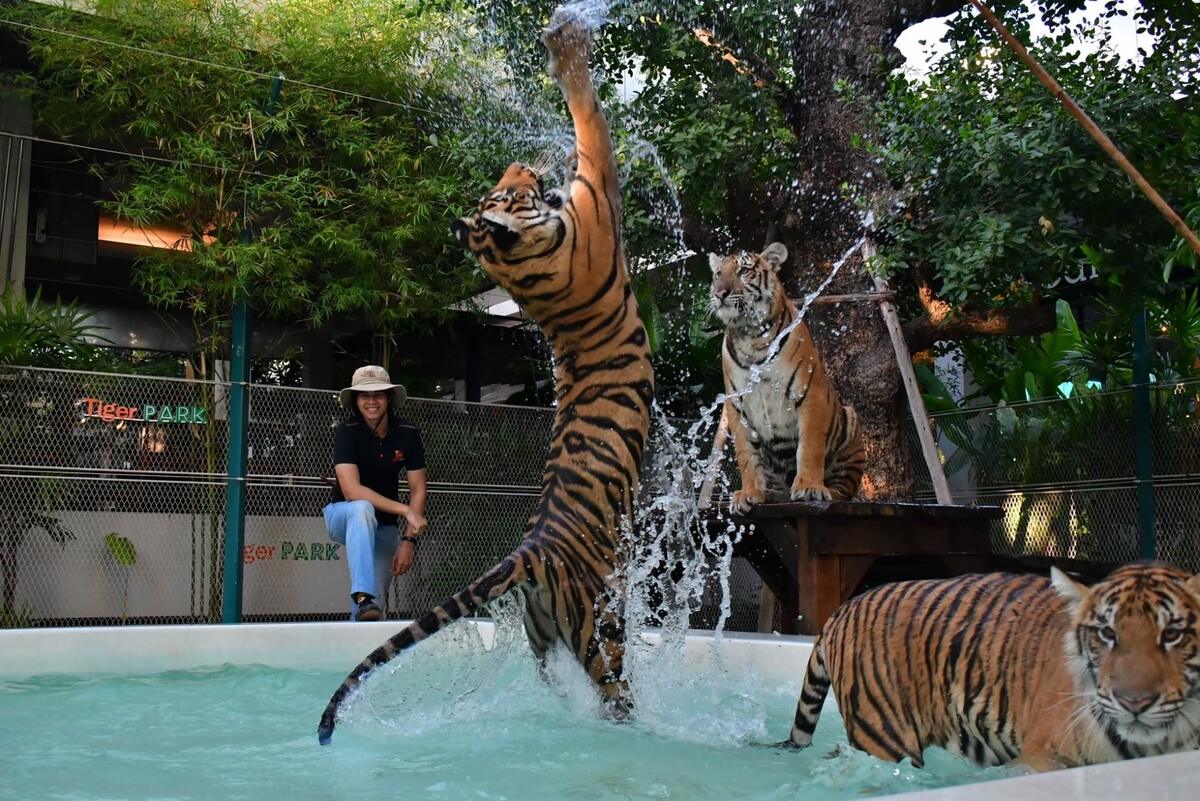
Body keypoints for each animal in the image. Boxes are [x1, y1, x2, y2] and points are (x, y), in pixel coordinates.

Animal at [317, 11, 652, 745]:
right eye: (511, 189)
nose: (524, 165)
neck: (529, 269)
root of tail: (529, 550)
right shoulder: (599, 200)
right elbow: (589, 119)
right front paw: (569, 50)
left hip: (543, 635)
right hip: (602, 625)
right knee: (618, 690)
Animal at [710, 242, 865, 512]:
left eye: (743, 270)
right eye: (718, 273)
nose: (720, 293)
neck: (752, 337)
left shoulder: (810, 393)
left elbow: (810, 446)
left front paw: (809, 487)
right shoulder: (737, 406)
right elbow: (746, 456)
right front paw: (748, 493)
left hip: (850, 423)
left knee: (843, 491)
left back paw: (826, 493)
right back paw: (769, 494)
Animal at [787, 564, 1200, 770]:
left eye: (1173, 634)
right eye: (1107, 634)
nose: (1134, 702)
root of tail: (843, 609)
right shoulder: (1042, 757)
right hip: (885, 735)